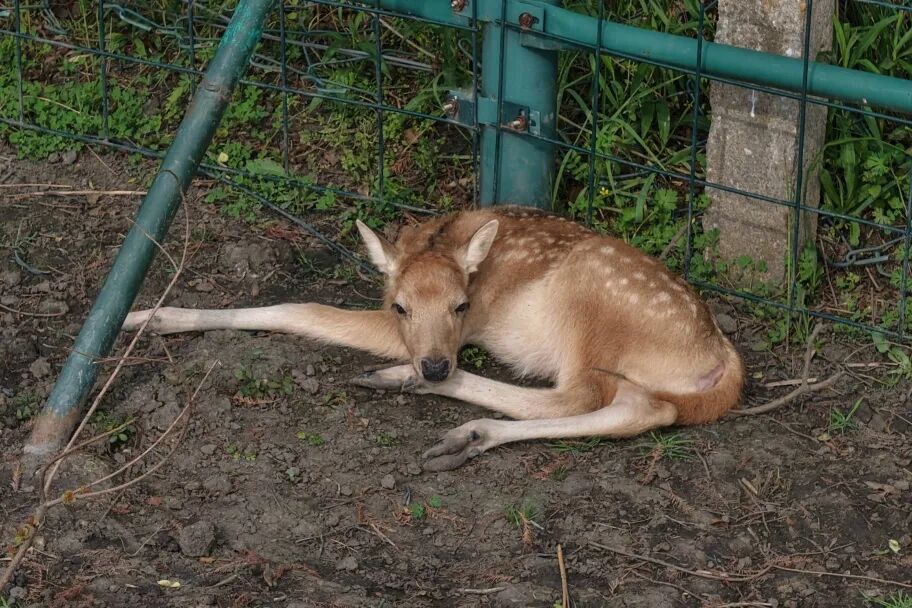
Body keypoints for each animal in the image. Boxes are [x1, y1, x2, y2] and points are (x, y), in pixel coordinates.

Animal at [122, 206, 744, 471]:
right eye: (402, 305)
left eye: (462, 306)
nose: (436, 364)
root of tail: (724, 363)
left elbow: (301, 306)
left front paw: (150, 315)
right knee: (642, 408)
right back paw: (456, 421)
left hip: (589, 306)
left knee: (579, 396)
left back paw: (419, 393)